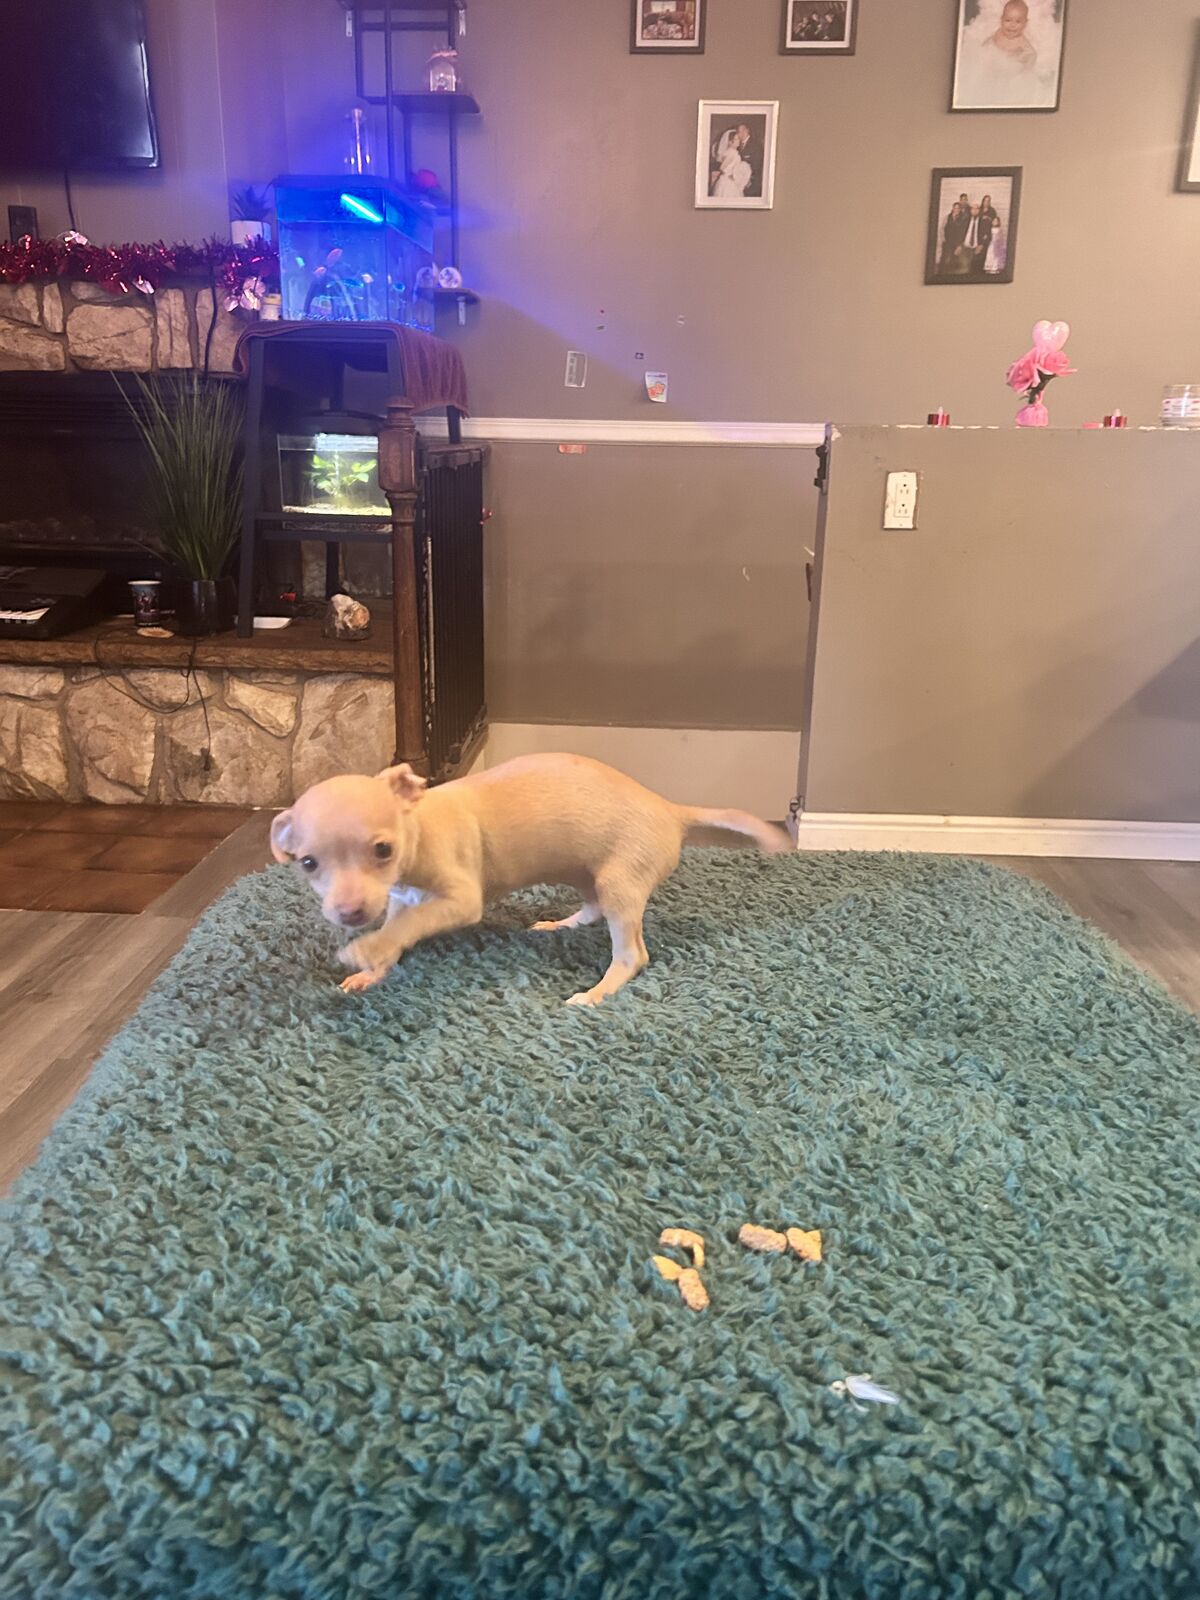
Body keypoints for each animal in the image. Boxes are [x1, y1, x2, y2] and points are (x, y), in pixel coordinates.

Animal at [270, 752, 791, 1007]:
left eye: (383, 849)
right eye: (307, 863)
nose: (350, 913)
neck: (421, 823)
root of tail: (670, 810)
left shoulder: (458, 898)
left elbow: (411, 925)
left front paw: (365, 950)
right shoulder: (399, 896)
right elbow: (398, 928)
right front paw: (373, 969)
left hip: (621, 878)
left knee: (632, 954)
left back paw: (598, 992)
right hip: (584, 870)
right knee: (593, 906)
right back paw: (560, 925)